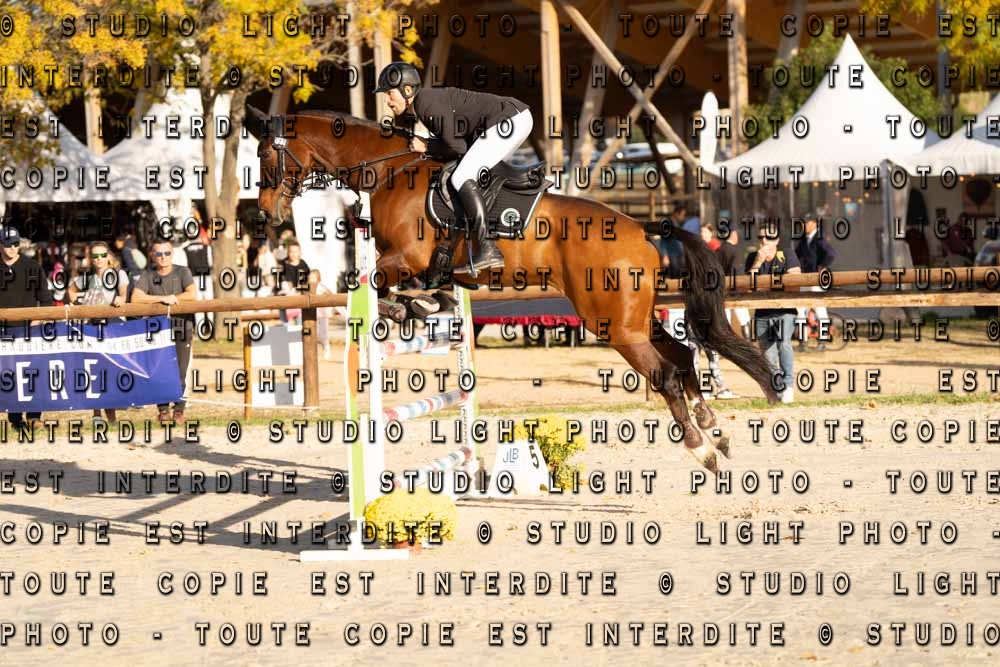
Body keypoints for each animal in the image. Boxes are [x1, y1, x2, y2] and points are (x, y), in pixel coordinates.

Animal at [248, 107, 780, 473]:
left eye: (265, 154)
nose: (267, 214)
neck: (389, 170)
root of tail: (639, 227)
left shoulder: (405, 258)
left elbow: (368, 284)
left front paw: (408, 309)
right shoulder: (420, 266)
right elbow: (411, 290)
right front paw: (425, 304)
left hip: (611, 324)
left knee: (665, 375)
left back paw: (701, 449)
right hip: (635, 317)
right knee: (684, 357)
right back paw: (715, 429)